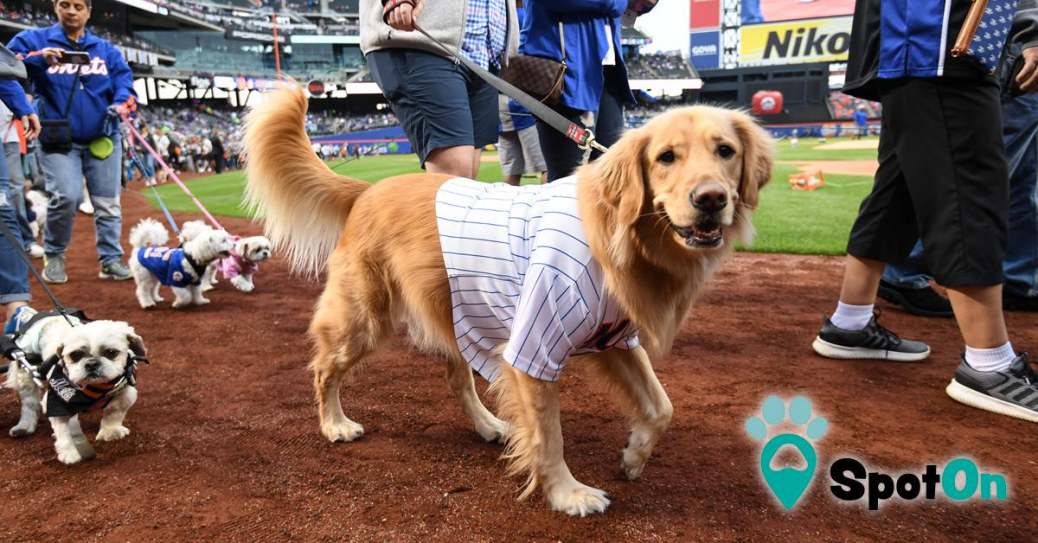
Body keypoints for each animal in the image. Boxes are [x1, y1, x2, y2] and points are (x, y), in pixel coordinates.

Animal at [4, 307, 147, 465]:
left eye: (111, 352)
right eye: (75, 354)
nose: (91, 363)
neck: (94, 388)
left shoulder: (125, 394)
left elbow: (114, 412)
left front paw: (110, 432)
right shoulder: (56, 404)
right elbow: (64, 433)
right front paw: (70, 454)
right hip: (25, 371)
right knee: (28, 404)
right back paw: (24, 426)